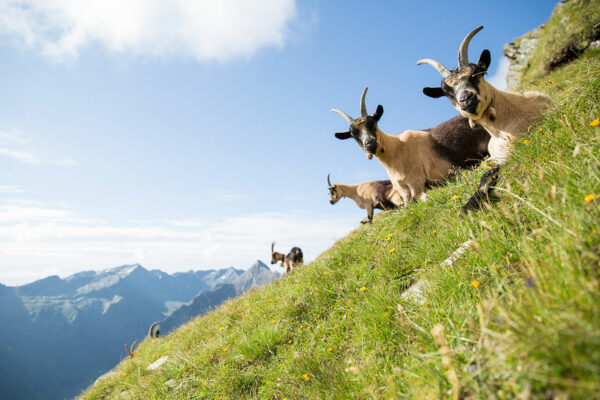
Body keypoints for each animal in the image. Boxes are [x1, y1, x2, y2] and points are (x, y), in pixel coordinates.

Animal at [330, 88, 490, 206]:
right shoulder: (402, 190)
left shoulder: (416, 182)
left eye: (373, 123)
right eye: (353, 134)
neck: (396, 150)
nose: (369, 143)